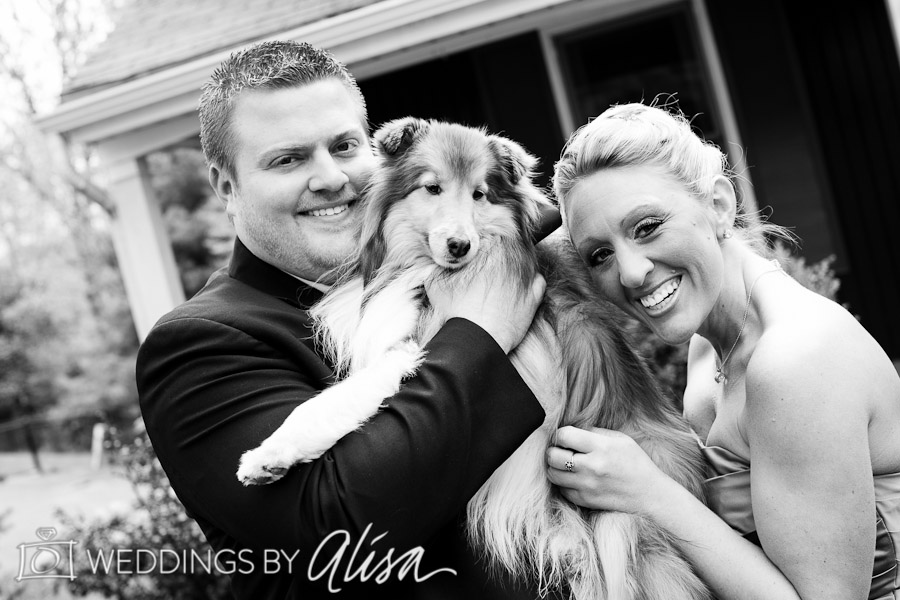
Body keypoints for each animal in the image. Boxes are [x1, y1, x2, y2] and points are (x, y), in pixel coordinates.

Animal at [236, 118, 710, 600]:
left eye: (480, 194)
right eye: (432, 188)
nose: (460, 245)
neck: (424, 268)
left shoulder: (414, 346)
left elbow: (336, 399)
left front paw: (267, 456)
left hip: (622, 529)